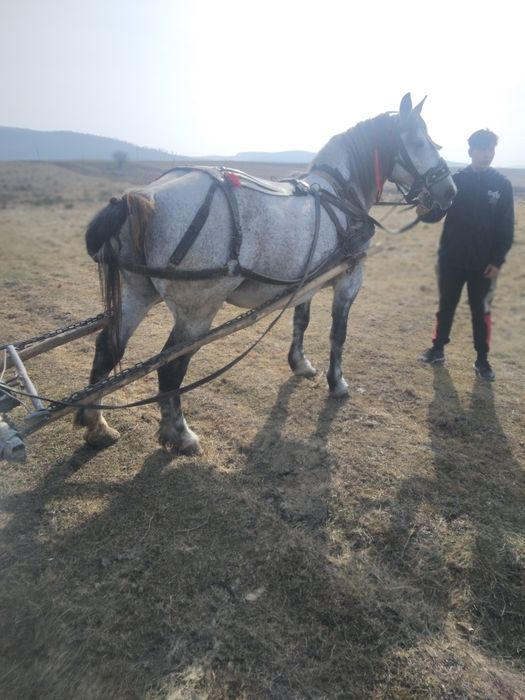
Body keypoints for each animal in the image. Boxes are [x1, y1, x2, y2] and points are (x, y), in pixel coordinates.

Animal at [75, 93, 456, 455]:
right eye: (421, 142)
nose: (450, 192)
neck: (340, 194)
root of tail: (143, 196)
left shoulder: (307, 280)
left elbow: (301, 320)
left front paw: (300, 364)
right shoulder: (350, 278)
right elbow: (338, 333)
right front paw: (337, 383)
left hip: (136, 293)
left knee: (108, 347)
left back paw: (96, 423)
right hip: (196, 313)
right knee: (171, 369)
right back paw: (181, 434)